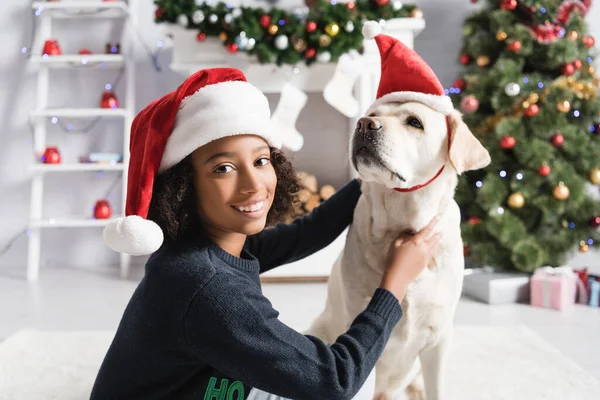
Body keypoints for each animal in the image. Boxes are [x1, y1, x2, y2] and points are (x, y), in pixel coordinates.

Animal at [308, 101, 490, 400]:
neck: (402, 226)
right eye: (373, 114)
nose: (364, 124)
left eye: (415, 122)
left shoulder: (438, 338)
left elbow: (438, 390)